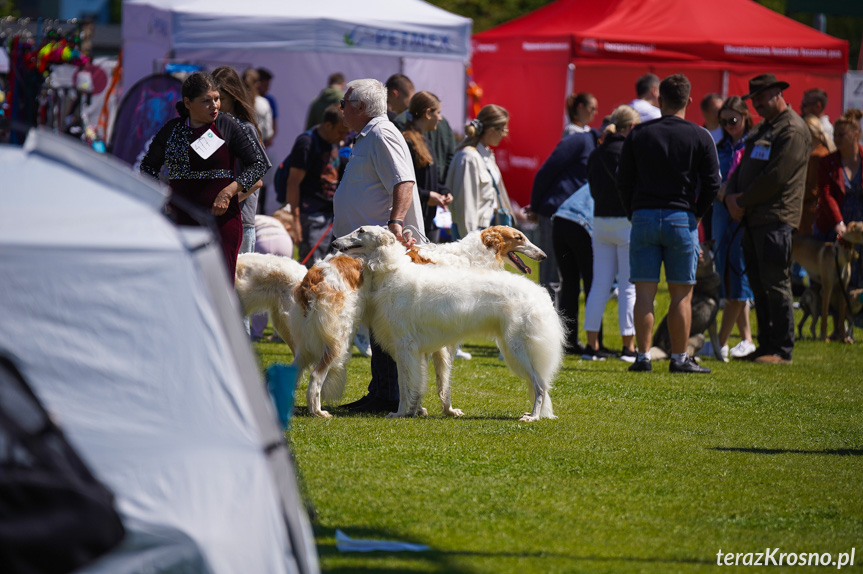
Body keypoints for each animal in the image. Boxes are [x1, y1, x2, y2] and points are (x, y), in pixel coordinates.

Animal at [332, 226, 568, 424]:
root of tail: (540, 294)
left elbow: (406, 386)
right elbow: (419, 385)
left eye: (361, 230)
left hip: (518, 350)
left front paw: (400, 413)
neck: (392, 271)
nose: (334, 242)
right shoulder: (419, 351)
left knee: (541, 386)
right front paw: (416, 411)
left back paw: (533, 416)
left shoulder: (405, 347)